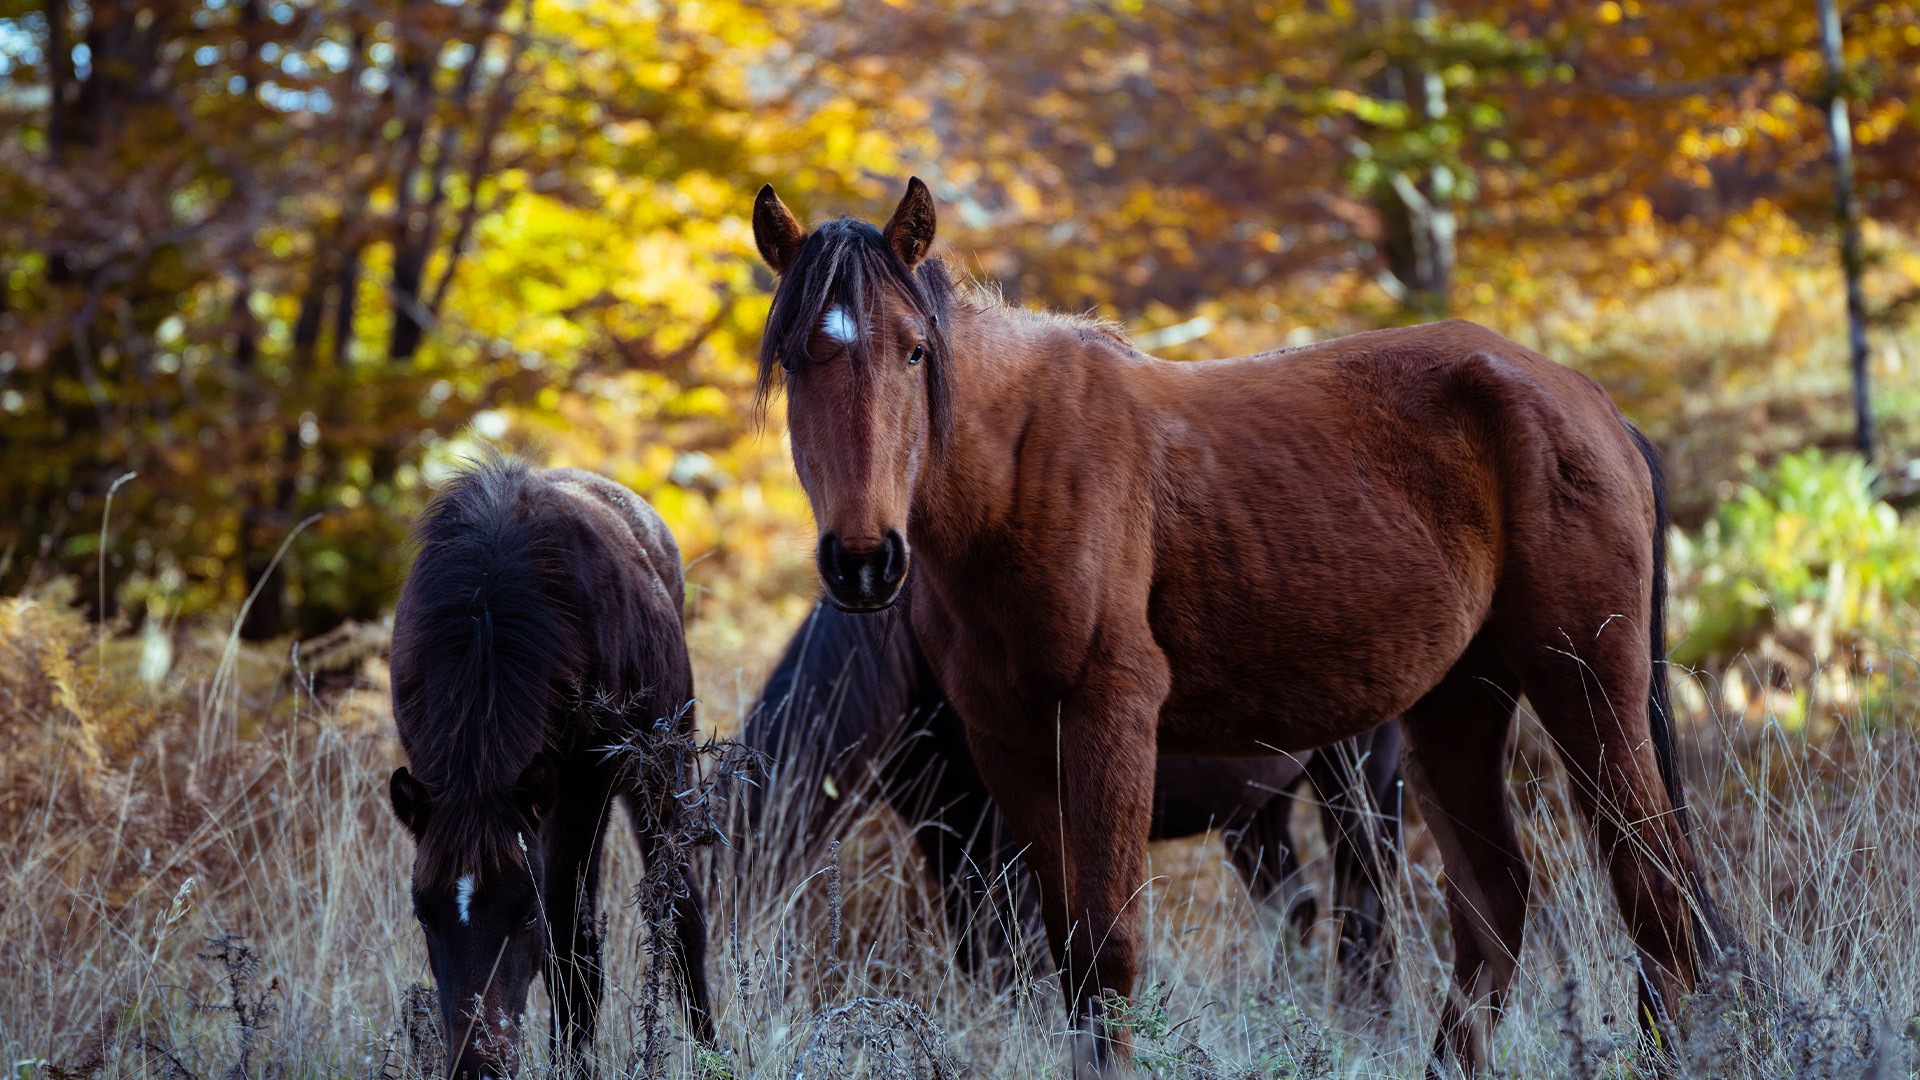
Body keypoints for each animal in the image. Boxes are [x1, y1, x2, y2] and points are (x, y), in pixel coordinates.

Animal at [387, 457, 714, 1068]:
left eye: (524, 913)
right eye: (425, 915)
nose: (478, 1066)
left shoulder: (582, 789)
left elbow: (573, 957)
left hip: (663, 772)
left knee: (685, 922)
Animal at [741, 591, 1405, 972]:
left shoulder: (1001, 831)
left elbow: (1019, 950)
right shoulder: (947, 830)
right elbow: (981, 951)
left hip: (1361, 774)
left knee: (1367, 910)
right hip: (1258, 806)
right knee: (1296, 909)